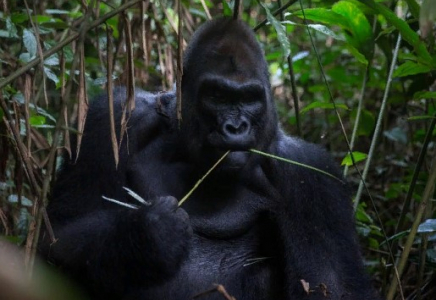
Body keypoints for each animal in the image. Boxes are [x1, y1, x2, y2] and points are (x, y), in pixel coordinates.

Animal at [41, 17, 382, 298]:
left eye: (249, 99)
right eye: (217, 96)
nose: (235, 127)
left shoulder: (311, 173)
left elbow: (333, 286)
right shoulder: (111, 117)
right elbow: (59, 234)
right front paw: (148, 234)